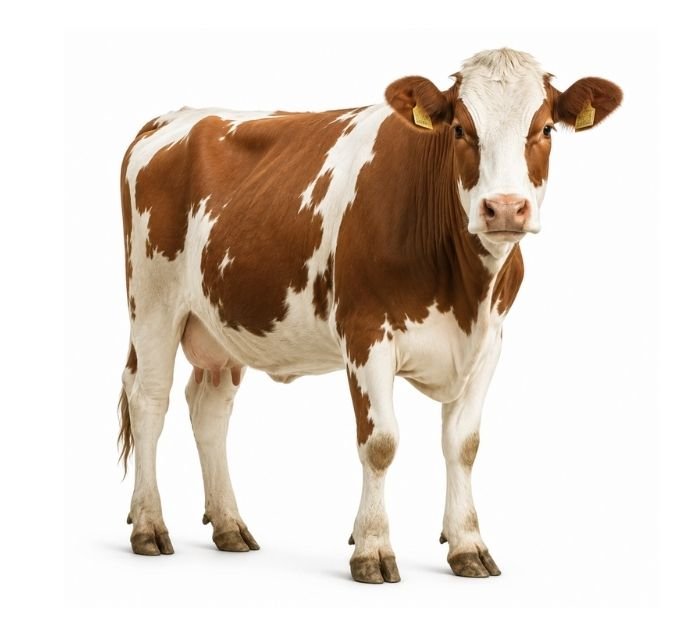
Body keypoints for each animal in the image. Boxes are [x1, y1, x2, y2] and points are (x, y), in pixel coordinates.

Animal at [118, 48, 622, 583]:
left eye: (545, 128)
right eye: (460, 128)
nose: (504, 208)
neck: (465, 292)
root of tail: (170, 118)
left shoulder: (489, 343)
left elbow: (464, 444)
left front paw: (467, 544)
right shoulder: (365, 334)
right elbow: (380, 443)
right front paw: (373, 548)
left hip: (221, 323)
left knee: (209, 408)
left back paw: (230, 525)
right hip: (152, 303)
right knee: (148, 400)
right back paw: (148, 526)